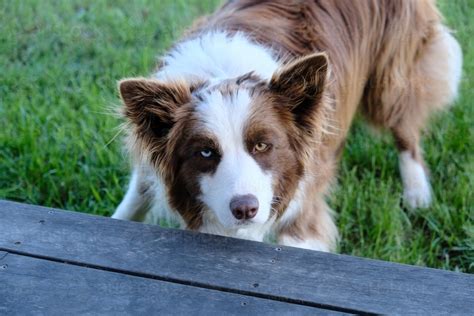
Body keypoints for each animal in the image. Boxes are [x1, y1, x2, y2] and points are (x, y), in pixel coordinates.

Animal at [110, 0, 460, 252]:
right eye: (205, 152)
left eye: (262, 145)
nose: (245, 210)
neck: (225, 74)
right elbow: (137, 193)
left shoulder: (303, 213)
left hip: (392, 72)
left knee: (404, 127)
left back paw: (417, 193)